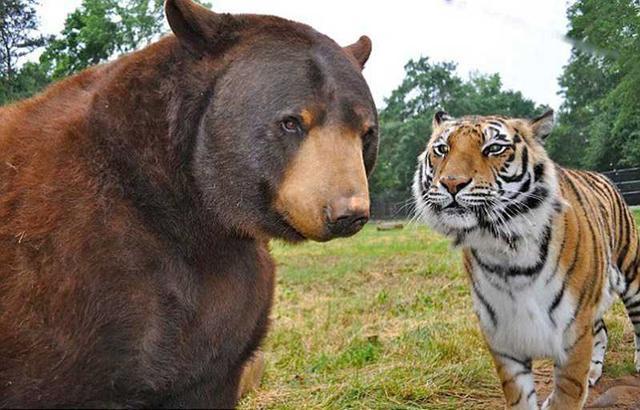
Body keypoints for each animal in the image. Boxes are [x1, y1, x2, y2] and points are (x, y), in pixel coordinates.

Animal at [412, 110, 640, 409]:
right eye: (442, 149)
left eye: (494, 148)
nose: (451, 183)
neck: (506, 252)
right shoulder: (502, 335)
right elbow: (519, 396)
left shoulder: (573, 332)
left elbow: (567, 394)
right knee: (601, 331)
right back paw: (593, 372)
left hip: (631, 272)